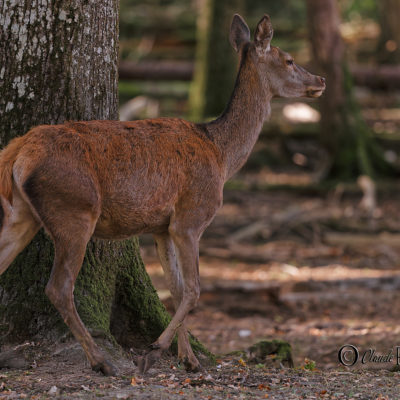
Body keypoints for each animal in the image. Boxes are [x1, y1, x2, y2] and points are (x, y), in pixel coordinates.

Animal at [0, 13, 324, 376]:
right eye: (289, 59)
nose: (321, 79)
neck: (221, 155)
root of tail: (18, 151)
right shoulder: (191, 217)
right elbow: (194, 290)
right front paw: (155, 350)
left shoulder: (162, 228)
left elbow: (176, 289)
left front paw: (190, 359)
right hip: (74, 209)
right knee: (58, 287)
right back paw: (100, 360)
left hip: (21, 214)